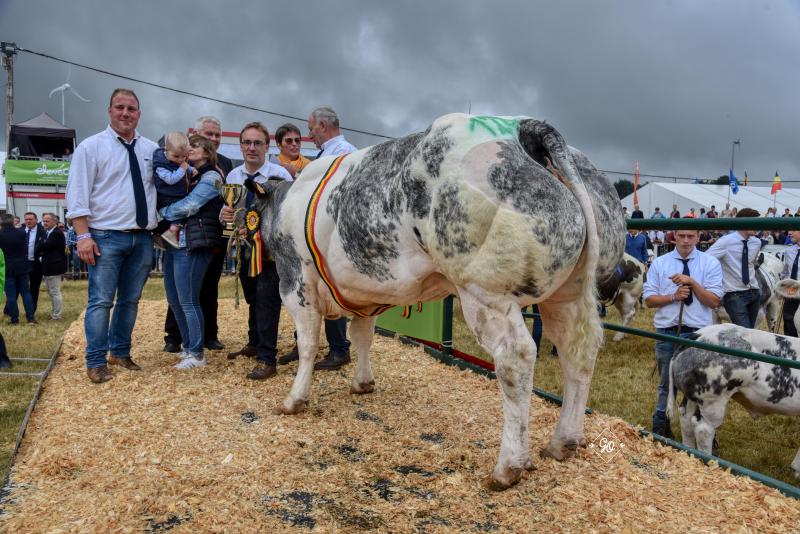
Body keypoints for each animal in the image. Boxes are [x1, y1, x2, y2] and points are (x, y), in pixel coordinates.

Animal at [253, 115, 628, 492]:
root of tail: (526, 127)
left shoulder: (295, 279)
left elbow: (308, 343)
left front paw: (294, 399)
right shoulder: (366, 293)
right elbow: (362, 337)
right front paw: (362, 383)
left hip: (485, 290)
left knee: (516, 357)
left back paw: (508, 467)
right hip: (569, 293)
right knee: (578, 352)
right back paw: (564, 441)